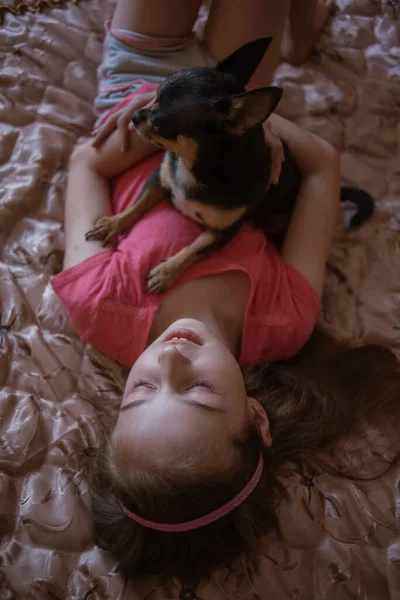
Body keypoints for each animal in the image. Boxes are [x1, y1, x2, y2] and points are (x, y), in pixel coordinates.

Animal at [86, 36, 374, 294]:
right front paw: (111, 224)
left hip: (276, 220)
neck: (194, 166)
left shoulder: (223, 232)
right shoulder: (159, 180)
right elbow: (138, 204)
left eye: (162, 125)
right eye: (155, 94)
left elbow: (195, 248)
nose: (135, 116)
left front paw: (166, 272)